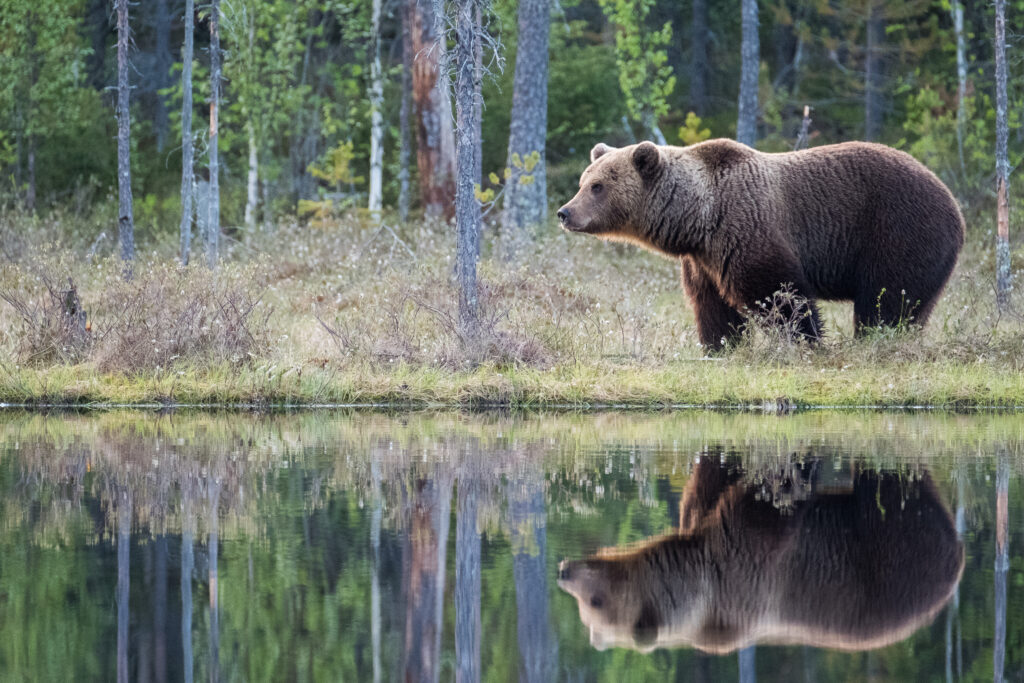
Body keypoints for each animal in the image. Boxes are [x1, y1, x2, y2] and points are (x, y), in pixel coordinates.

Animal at [556, 139, 966, 349]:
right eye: (584, 180)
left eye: (598, 186)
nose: (564, 212)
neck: (700, 215)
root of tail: (955, 205)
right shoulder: (704, 259)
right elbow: (712, 306)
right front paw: (720, 345)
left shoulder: (748, 227)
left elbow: (778, 293)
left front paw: (803, 340)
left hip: (898, 229)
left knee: (887, 299)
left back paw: (876, 340)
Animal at [557, 459, 964, 654]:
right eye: (585, 614)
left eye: (594, 601)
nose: (564, 571)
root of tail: (958, 559)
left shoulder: (750, 565)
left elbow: (767, 502)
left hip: (892, 547)